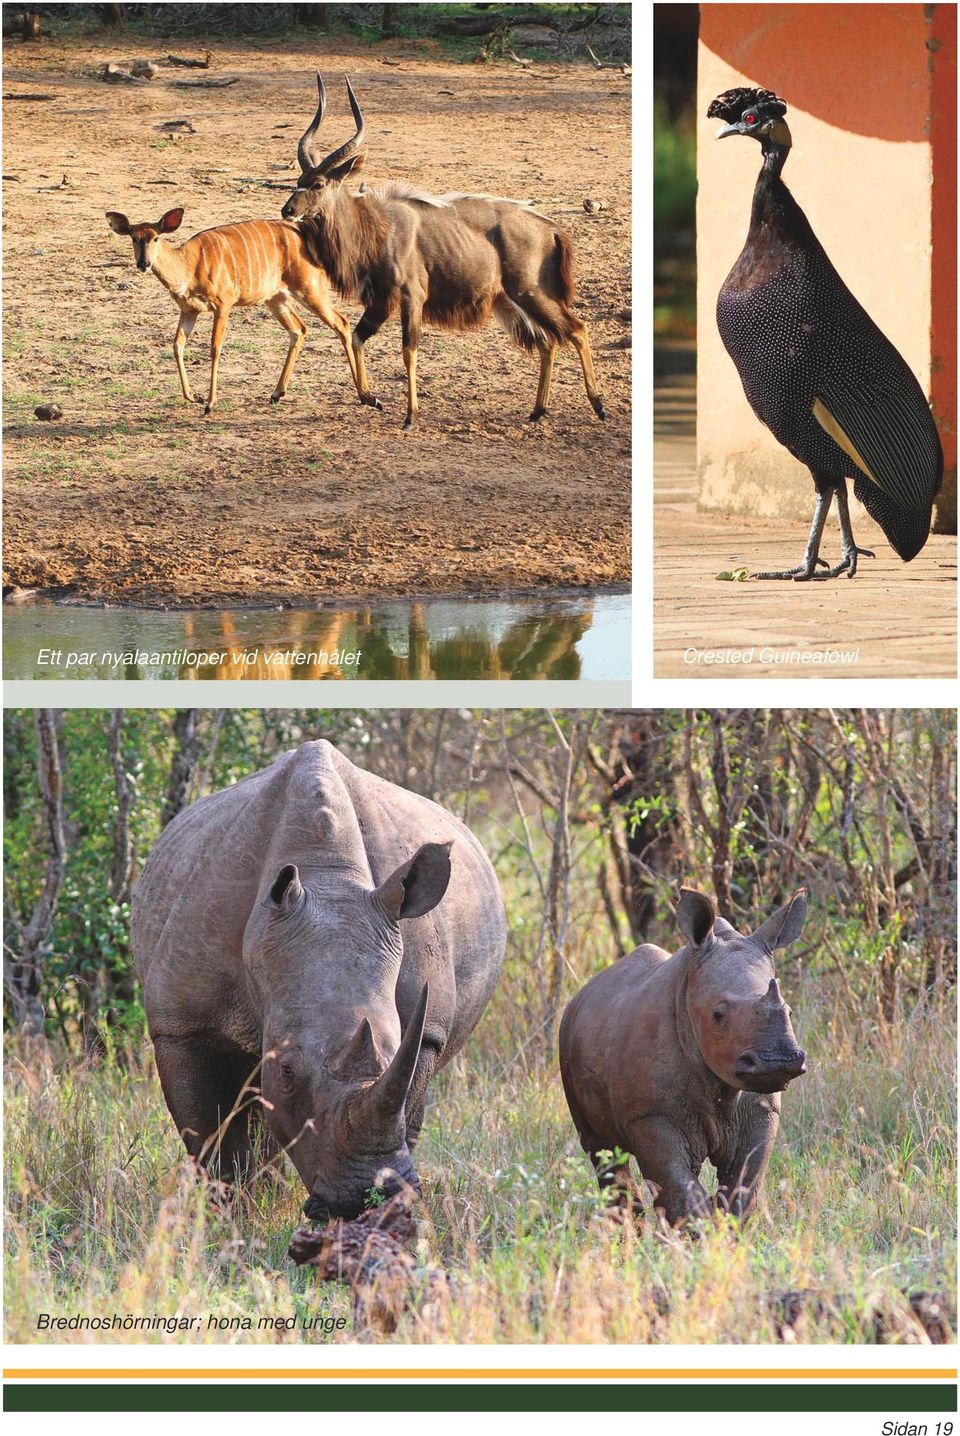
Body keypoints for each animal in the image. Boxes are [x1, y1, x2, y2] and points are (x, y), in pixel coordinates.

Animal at [104, 206, 358, 416]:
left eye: (156, 237)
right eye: (134, 238)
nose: (143, 264)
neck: (189, 266)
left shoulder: (223, 304)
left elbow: (215, 348)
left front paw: (209, 404)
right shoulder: (189, 310)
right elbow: (177, 345)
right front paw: (193, 396)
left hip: (309, 288)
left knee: (342, 323)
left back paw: (364, 394)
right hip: (275, 299)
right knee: (299, 330)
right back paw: (276, 394)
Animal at [278, 75, 605, 427]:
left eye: (319, 184)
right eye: (299, 179)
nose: (288, 210)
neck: (378, 228)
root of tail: (552, 229)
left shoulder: (411, 297)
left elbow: (408, 349)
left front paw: (410, 415)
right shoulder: (380, 301)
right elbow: (356, 337)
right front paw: (369, 397)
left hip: (529, 293)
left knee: (577, 329)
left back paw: (598, 405)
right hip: (511, 301)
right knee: (547, 341)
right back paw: (536, 411)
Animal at [556, 884, 803, 1223]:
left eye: (790, 1011)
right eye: (718, 1015)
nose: (778, 1062)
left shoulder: (761, 1108)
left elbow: (742, 1188)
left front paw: (724, 1228)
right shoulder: (651, 1116)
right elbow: (680, 1191)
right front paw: (699, 1232)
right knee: (602, 1150)